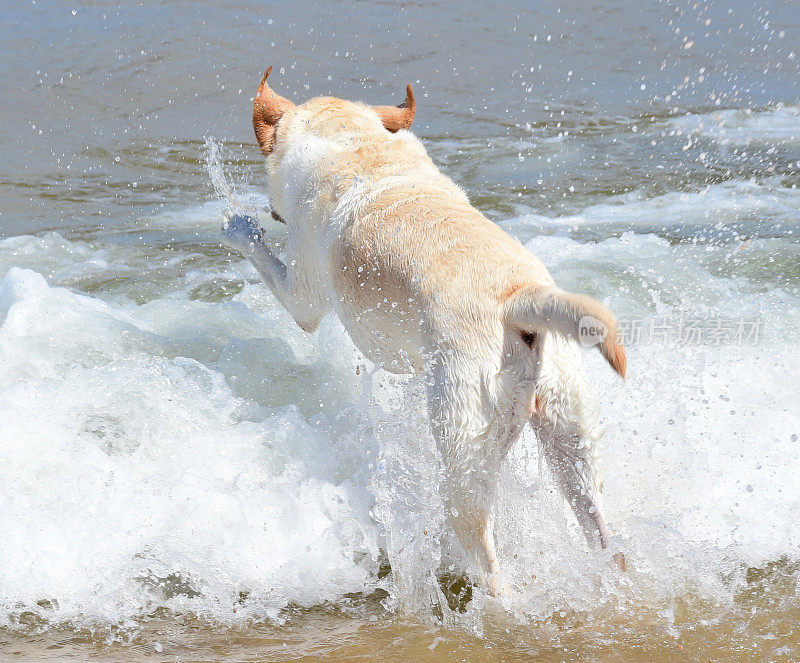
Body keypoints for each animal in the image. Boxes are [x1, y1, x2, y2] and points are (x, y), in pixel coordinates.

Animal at [222, 68, 628, 596]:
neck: (359, 146)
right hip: (571, 435)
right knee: (602, 532)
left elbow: (265, 260)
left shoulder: (301, 296)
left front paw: (238, 226)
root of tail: (514, 299)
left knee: (488, 561)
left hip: (462, 449)